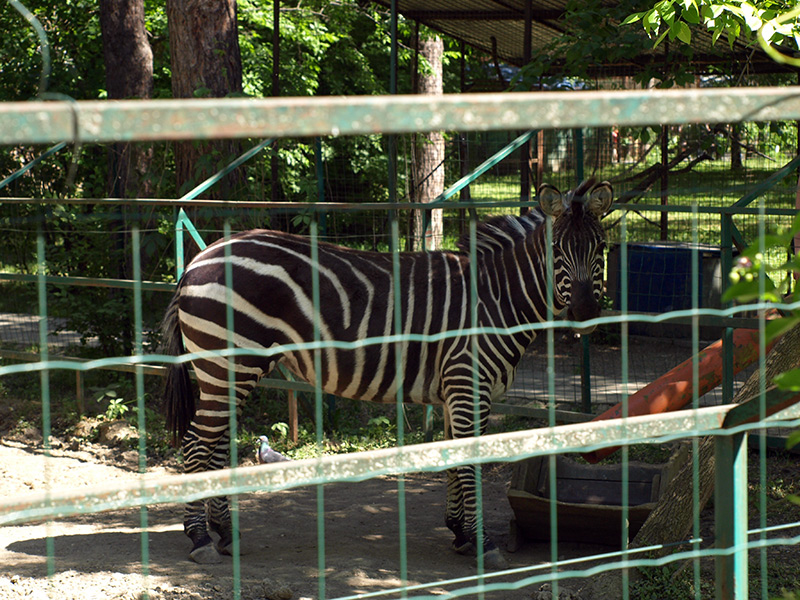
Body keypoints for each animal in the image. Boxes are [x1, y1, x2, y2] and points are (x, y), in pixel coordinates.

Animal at [161, 177, 612, 568]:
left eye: (602, 247)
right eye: (556, 249)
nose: (585, 312)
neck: (499, 298)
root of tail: (200, 257)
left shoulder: (453, 391)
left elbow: (452, 459)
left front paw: (460, 533)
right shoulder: (468, 384)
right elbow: (470, 463)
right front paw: (483, 543)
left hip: (233, 369)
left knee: (217, 446)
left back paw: (226, 532)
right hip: (226, 363)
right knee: (196, 445)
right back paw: (200, 539)